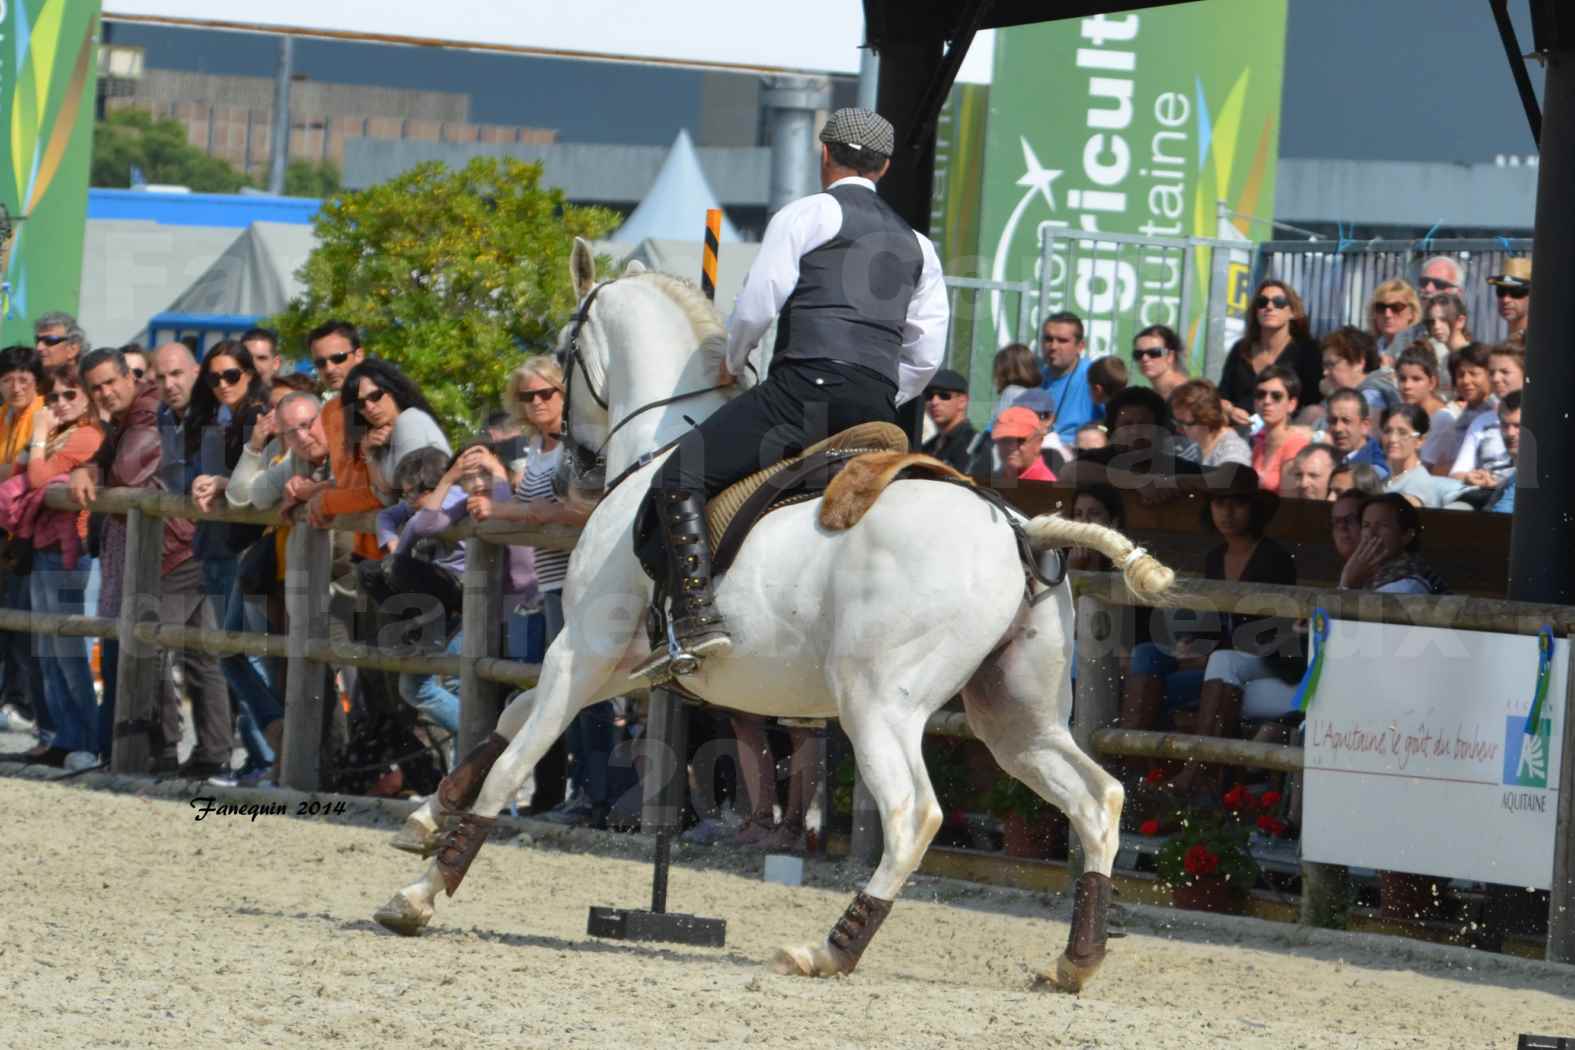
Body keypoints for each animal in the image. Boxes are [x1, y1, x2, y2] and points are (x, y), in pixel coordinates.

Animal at [374, 240, 1178, 994]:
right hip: (1014, 718)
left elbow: (517, 756)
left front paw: (423, 890)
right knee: (1097, 799)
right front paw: (428, 814)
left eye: (564, 350)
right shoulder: (625, 661)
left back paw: (831, 950)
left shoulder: (587, 644)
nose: (574, 463)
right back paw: (1075, 960)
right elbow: (510, 721)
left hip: (877, 703)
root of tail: (1019, 527)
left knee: (913, 815)